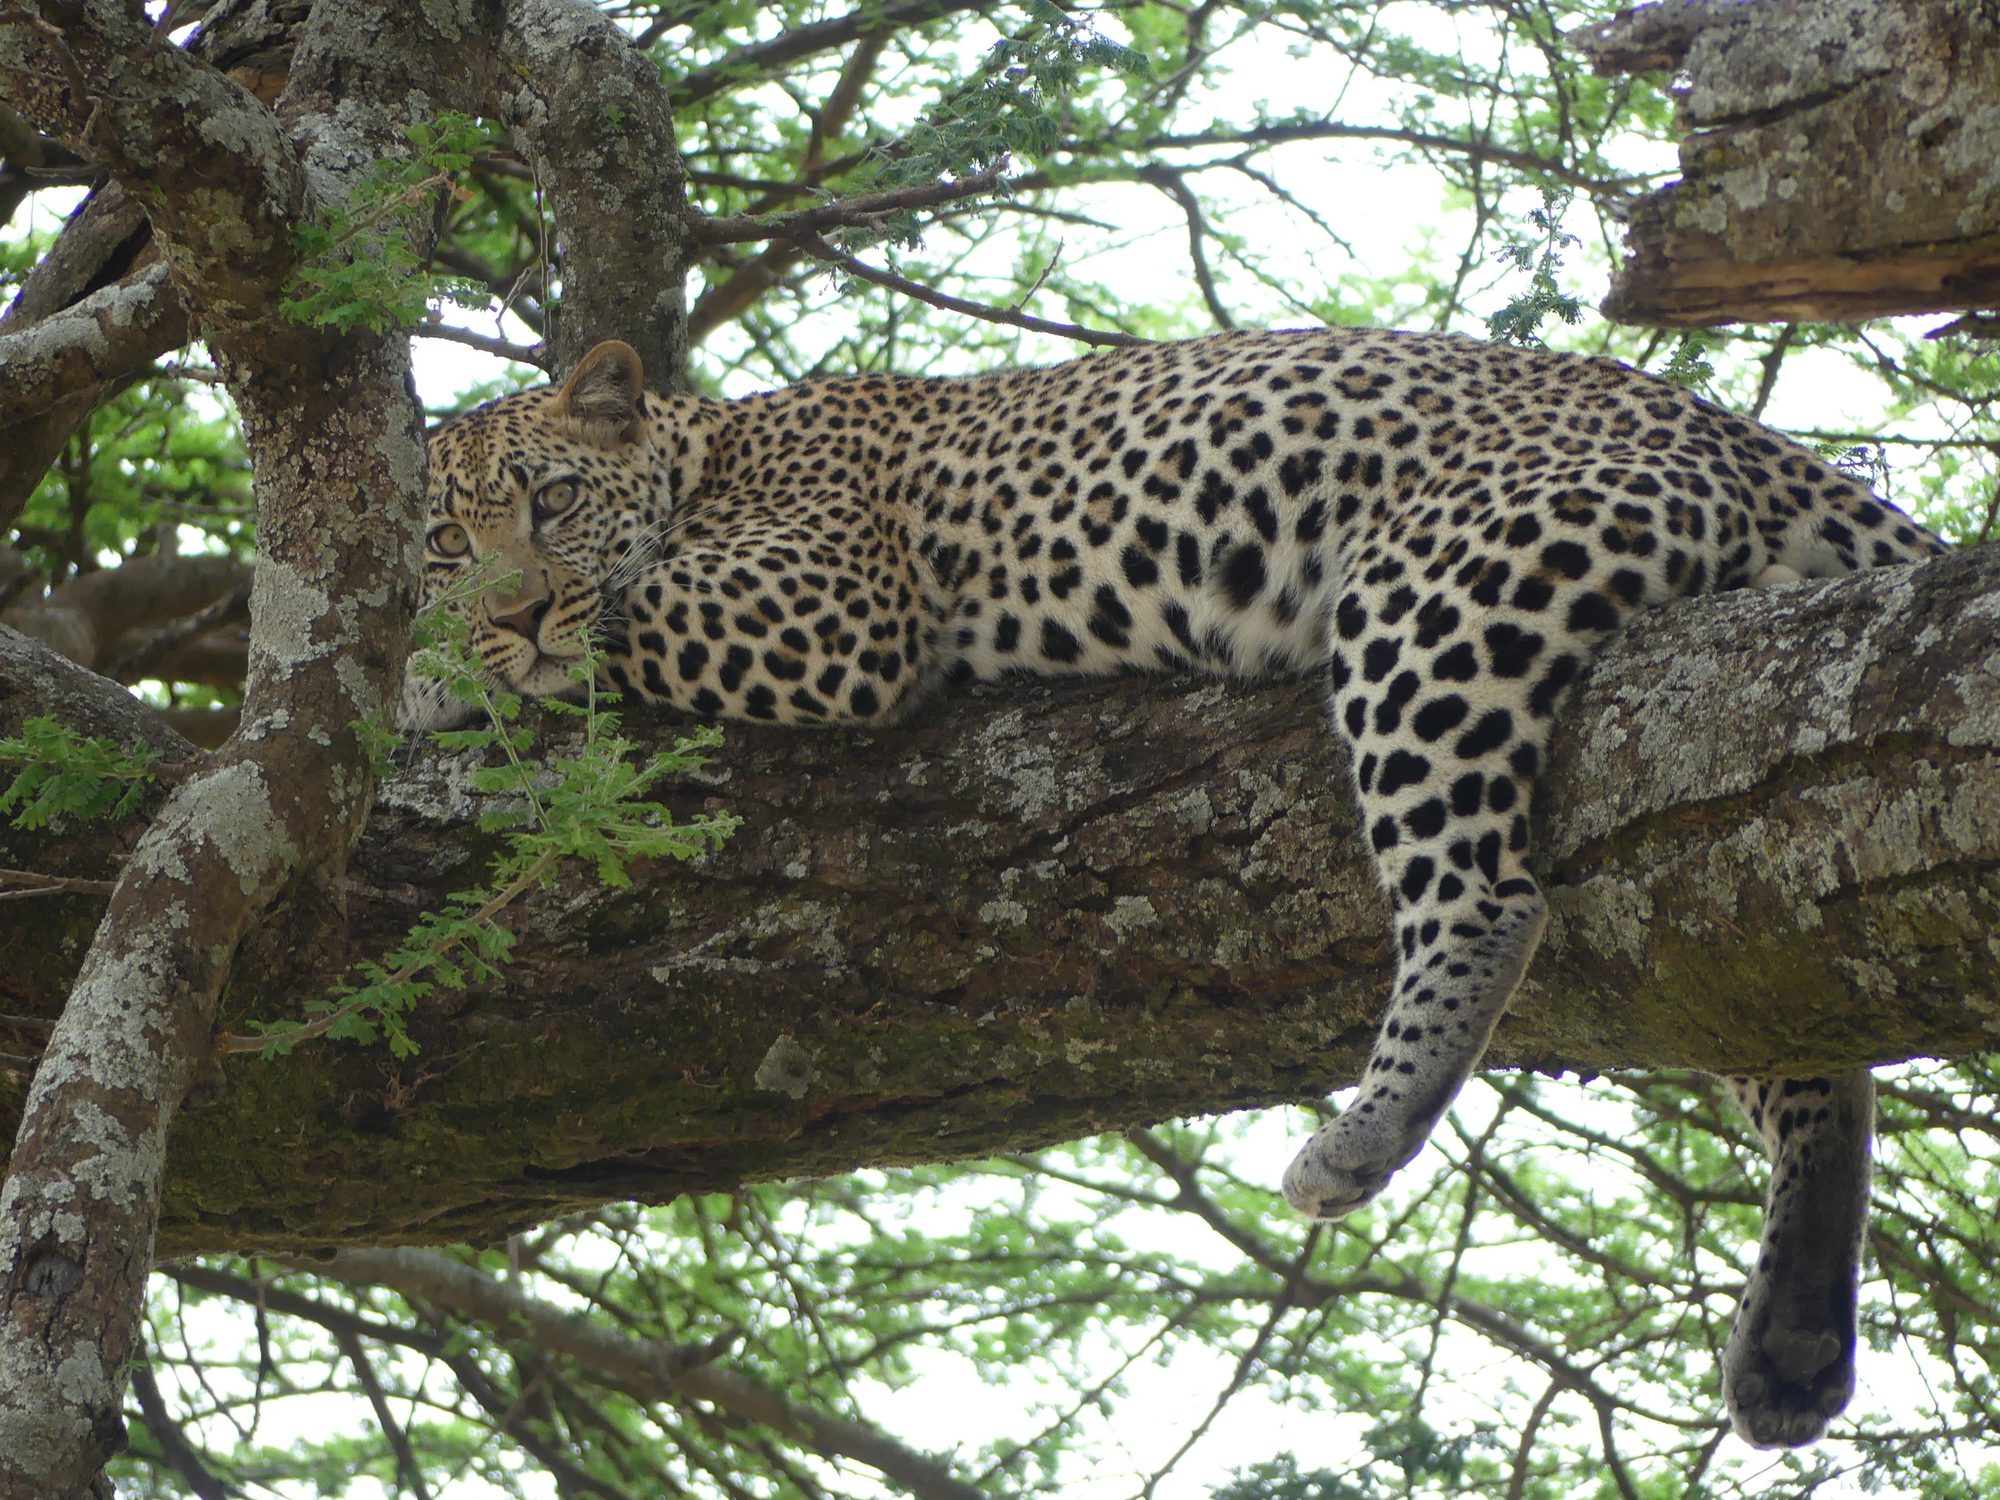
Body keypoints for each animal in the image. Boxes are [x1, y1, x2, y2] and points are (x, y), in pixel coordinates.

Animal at [402, 327, 1946, 1449]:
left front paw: (445, 672)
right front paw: (452, 650)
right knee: (1775, 1012)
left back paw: (1364, 1132)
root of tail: (1736, 429)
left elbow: (608, 619)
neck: (710, 451)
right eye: (444, 539)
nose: (506, 603)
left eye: (550, 501)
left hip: (1438, 593)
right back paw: (1794, 1341)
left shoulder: (830, 604)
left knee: (1487, 897)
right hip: (1699, 855)